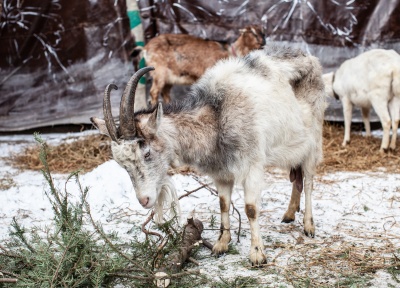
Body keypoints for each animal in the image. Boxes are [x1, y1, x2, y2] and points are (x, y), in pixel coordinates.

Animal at [92, 46, 326, 266]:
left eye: (147, 152)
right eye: (122, 164)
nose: (144, 200)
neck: (217, 115)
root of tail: (311, 59)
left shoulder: (252, 166)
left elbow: (251, 209)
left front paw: (257, 255)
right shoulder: (220, 172)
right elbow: (223, 203)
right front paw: (221, 244)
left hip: (313, 141)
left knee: (308, 181)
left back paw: (308, 225)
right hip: (293, 145)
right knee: (296, 177)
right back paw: (289, 213)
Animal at [131, 25, 266, 106]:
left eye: (263, 32)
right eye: (253, 33)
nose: (263, 42)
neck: (231, 52)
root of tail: (146, 48)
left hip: (169, 78)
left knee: (165, 93)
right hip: (159, 72)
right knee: (154, 92)